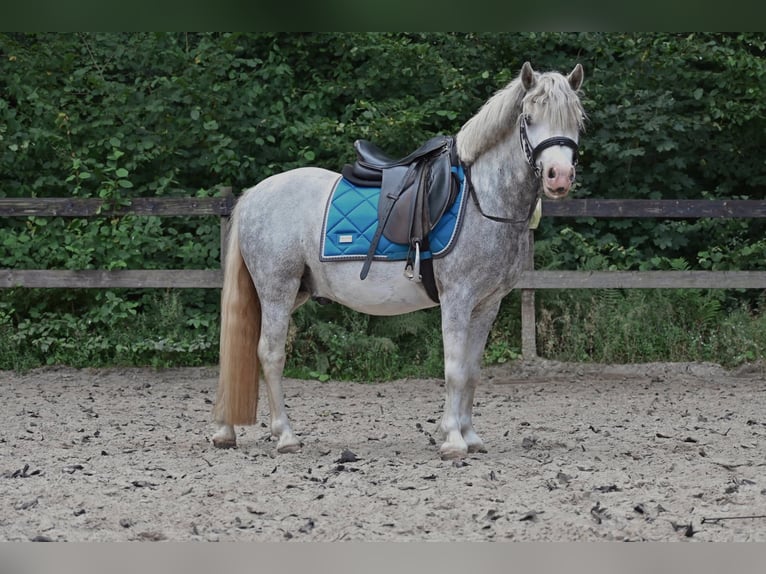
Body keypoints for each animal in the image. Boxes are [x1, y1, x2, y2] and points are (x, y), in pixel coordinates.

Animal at [212, 61, 586, 459]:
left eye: (577, 120)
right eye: (529, 118)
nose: (559, 177)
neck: (482, 198)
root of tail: (254, 194)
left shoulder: (487, 304)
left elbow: (471, 370)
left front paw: (469, 436)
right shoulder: (457, 299)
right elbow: (454, 368)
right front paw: (453, 440)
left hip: (292, 291)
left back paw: (225, 430)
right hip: (276, 290)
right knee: (269, 354)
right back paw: (285, 435)